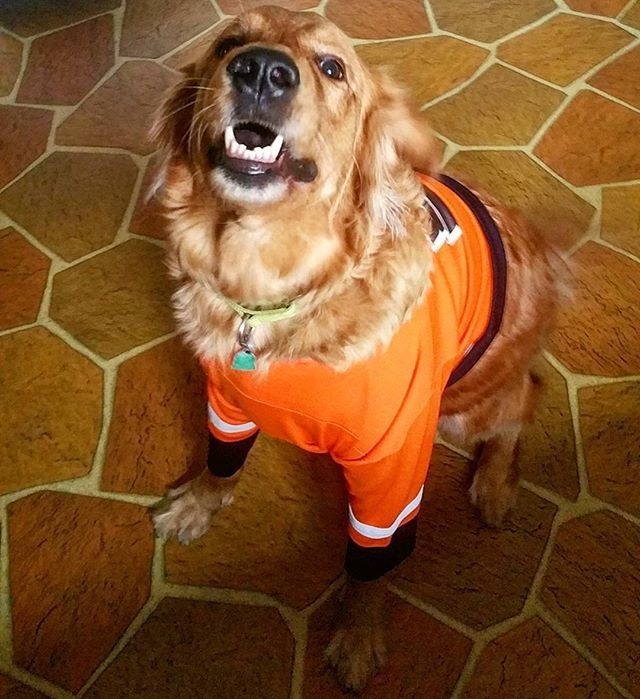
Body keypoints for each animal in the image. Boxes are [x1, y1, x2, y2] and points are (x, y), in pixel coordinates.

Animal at [152, 5, 564, 692]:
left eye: (331, 68)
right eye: (228, 43)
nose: (260, 70)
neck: (274, 292)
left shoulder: (391, 468)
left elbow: (371, 563)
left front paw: (359, 635)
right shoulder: (226, 402)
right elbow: (220, 463)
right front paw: (198, 507)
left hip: (468, 404)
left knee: (522, 402)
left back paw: (494, 486)